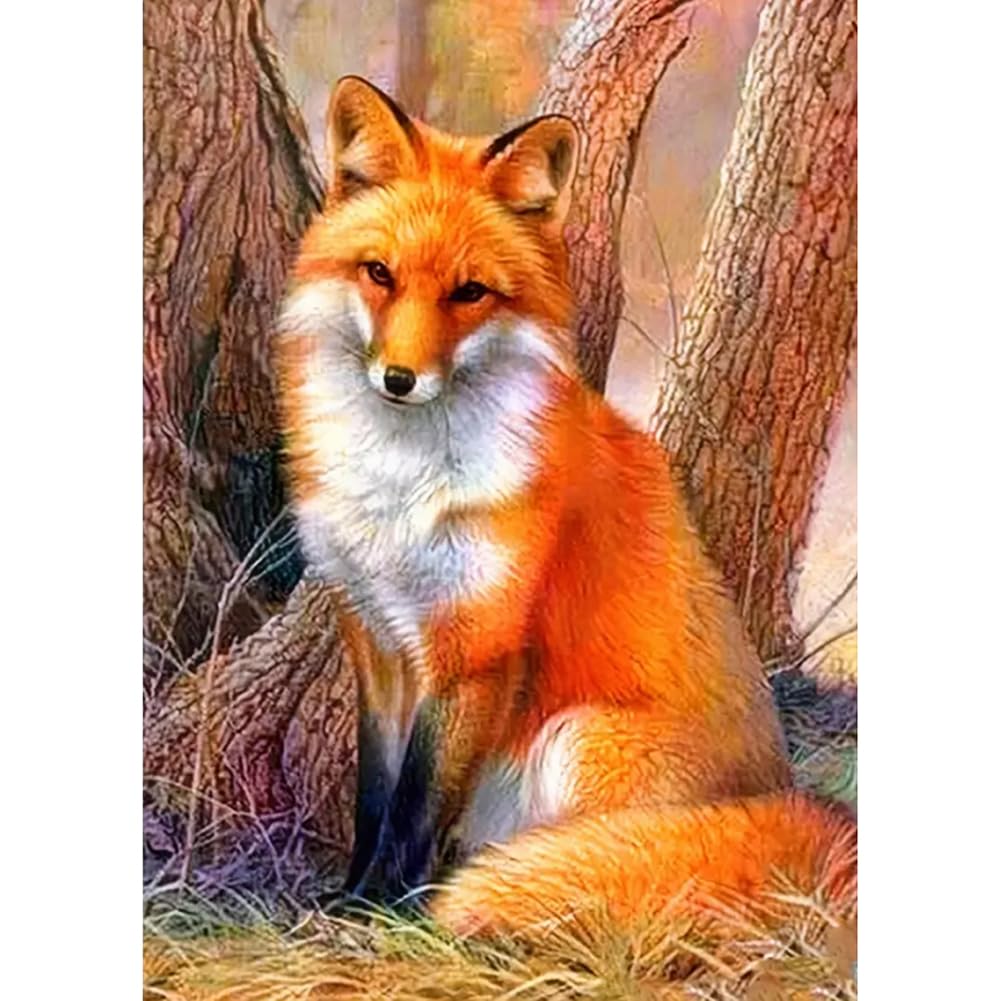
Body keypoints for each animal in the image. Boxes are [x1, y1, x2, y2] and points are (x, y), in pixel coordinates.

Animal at [275, 76, 856, 939]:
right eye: (378, 273)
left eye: (470, 293)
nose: (399, 379)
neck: (401, 485)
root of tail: (790, 796)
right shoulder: (374, 637)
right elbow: (374, 795)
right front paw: (349, 893)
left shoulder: (475, 647)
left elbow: (415, 805)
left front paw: (379, 914)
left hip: (574, 739)